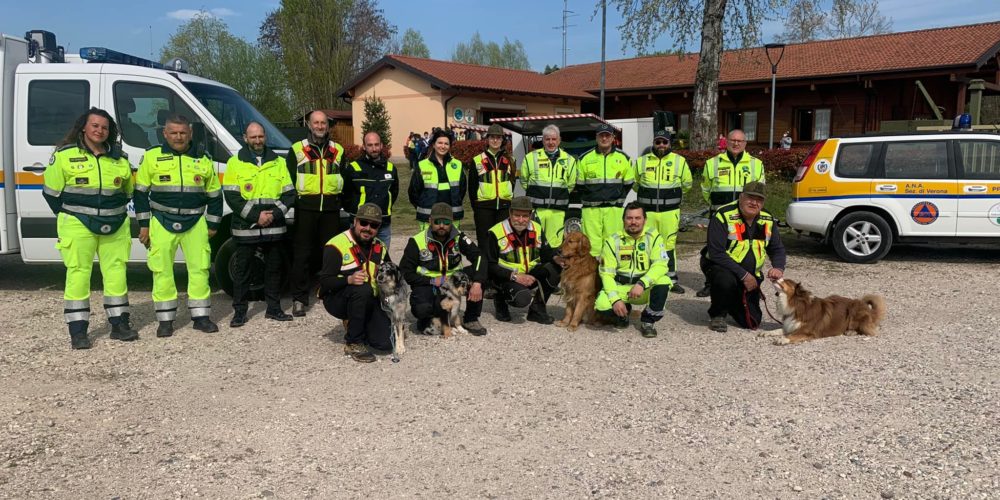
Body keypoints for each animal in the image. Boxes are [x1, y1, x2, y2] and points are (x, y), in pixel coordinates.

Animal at [760, 278, 888, 344]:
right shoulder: (790, 326)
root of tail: (868, 310)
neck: (796, 306)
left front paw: (783, 339)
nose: (774, 277)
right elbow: (779, 330)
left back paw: (851, 332)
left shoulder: (808, 332)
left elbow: (792, 335)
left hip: (854, 309)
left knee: (864, 329)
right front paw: (767, 333)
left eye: (786, 281)